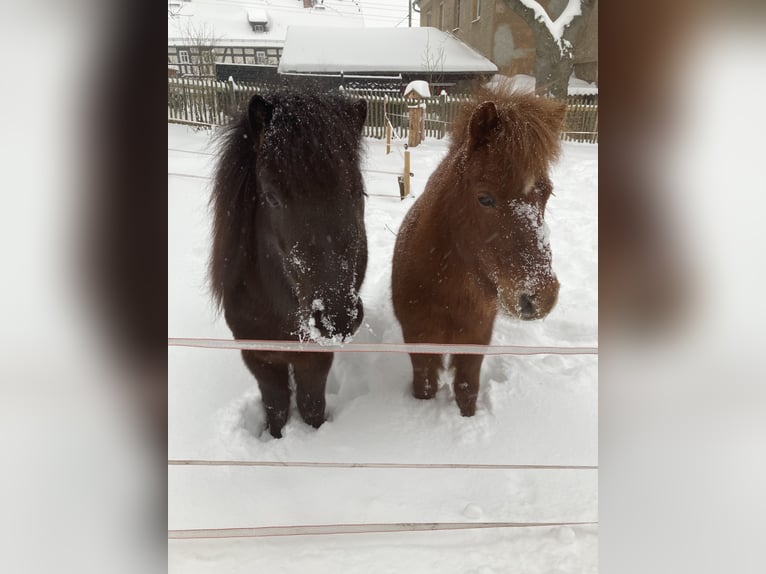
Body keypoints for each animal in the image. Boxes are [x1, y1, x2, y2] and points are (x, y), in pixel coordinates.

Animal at [208, 92, 368, 438]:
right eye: (271, 197)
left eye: (359, 191)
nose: (336, 318)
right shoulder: (260, 357)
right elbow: (277, 405)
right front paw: (277, 437)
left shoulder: (314, 356)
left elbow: (310, 404)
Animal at [392, 86, 568, 418]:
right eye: (484, 198)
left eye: (547, 194)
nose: (540, 297)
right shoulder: (419, 343)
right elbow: (425, 388)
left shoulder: (475, 343)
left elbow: (466, 391)